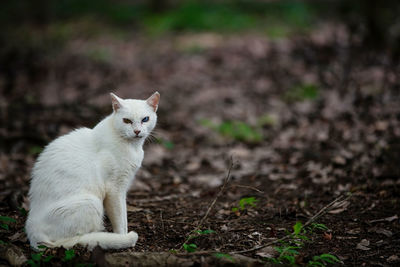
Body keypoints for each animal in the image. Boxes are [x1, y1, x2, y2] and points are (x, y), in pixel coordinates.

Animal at [24, 92, 159, 251]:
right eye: (127, 120)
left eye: (145, 119)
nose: (137, 131)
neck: (132, 146)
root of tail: (32, 230)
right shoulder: (114, 189)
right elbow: (120, 220)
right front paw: (122, 238)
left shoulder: (123, 188)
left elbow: (124, 217)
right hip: (91, 202)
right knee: (66, 241)